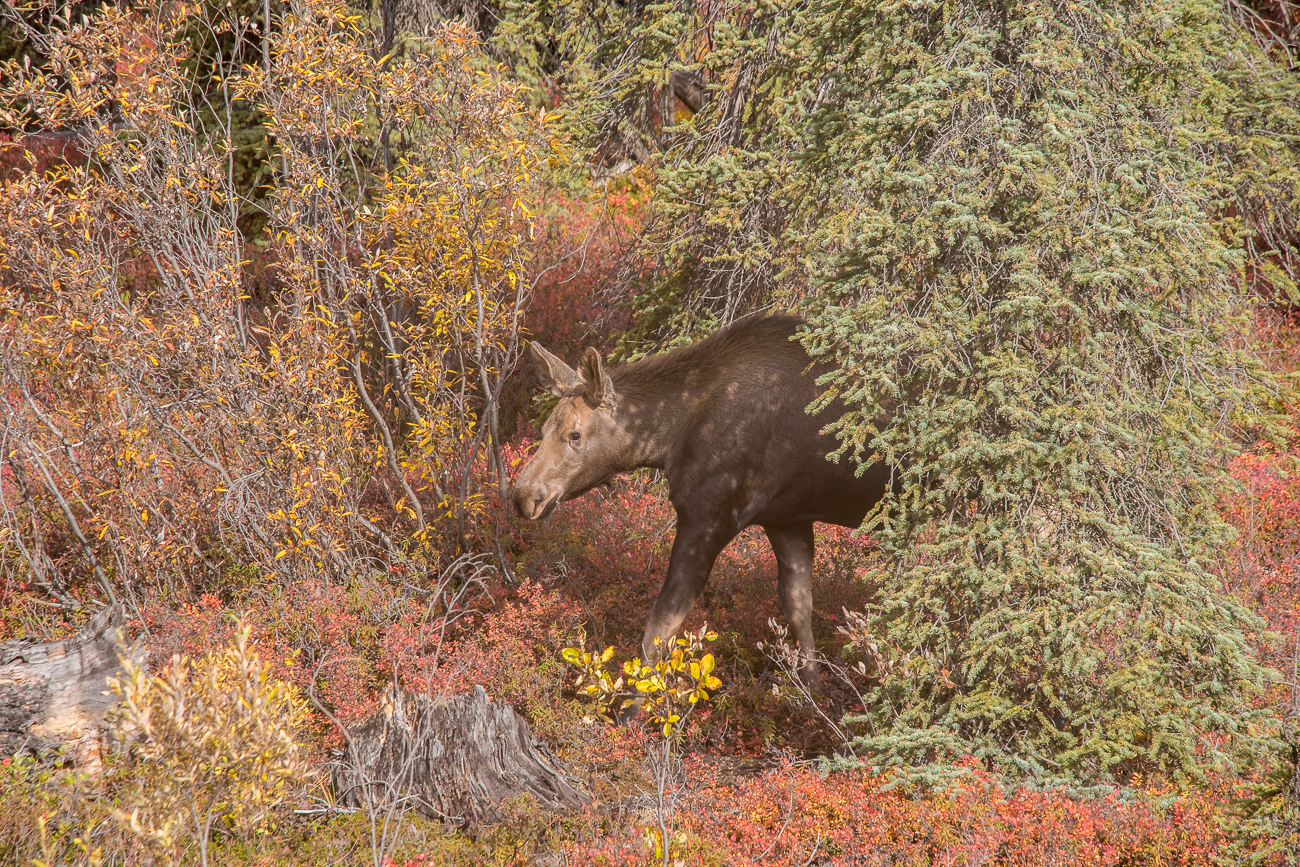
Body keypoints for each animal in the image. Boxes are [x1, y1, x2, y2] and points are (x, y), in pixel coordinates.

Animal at [509, 313, 894, 675]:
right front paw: (811, 689)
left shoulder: (708, 518)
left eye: (574, 434)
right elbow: (798, 611)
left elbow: (659, 628)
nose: (523, 496)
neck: (666, 441)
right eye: (543, 430)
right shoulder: (786, 519)